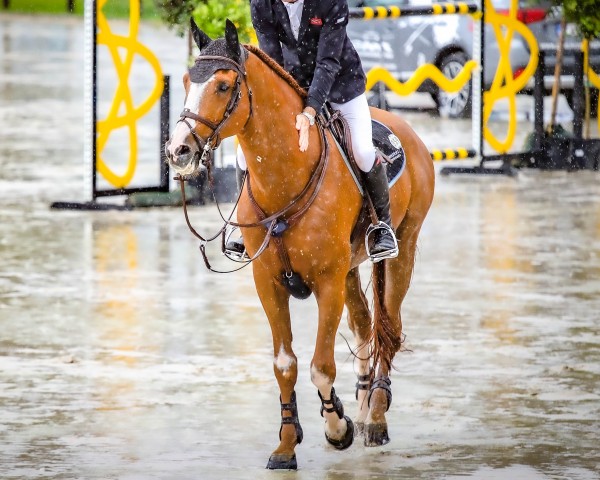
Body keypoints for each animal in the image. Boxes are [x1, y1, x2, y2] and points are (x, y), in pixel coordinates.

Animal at [166, 20, 434, 470]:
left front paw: (338, 428)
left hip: (405, 248)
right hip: (350, 267)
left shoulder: (326, 281)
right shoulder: (268, 281)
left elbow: (321, 366)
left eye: (222, 85)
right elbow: (285, 365)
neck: (285, 174)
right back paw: (364, 404)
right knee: (364, 327)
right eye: (187, 81)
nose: (177, 150)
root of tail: (409, 133)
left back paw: (376, 419)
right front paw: (288, 445)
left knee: (390, 328)